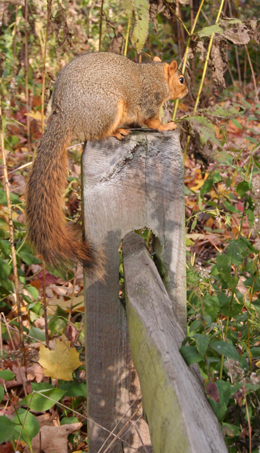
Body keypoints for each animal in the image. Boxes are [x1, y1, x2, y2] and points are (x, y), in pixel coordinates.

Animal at [26, 51, 188, 274]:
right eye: (181, 79)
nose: (187, 91)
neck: (155, 75)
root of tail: (66, 115)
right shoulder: (150, 103)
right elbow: (153, 122)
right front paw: (167, 125)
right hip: (109, 108)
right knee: (100, 133)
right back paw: (118, 131)